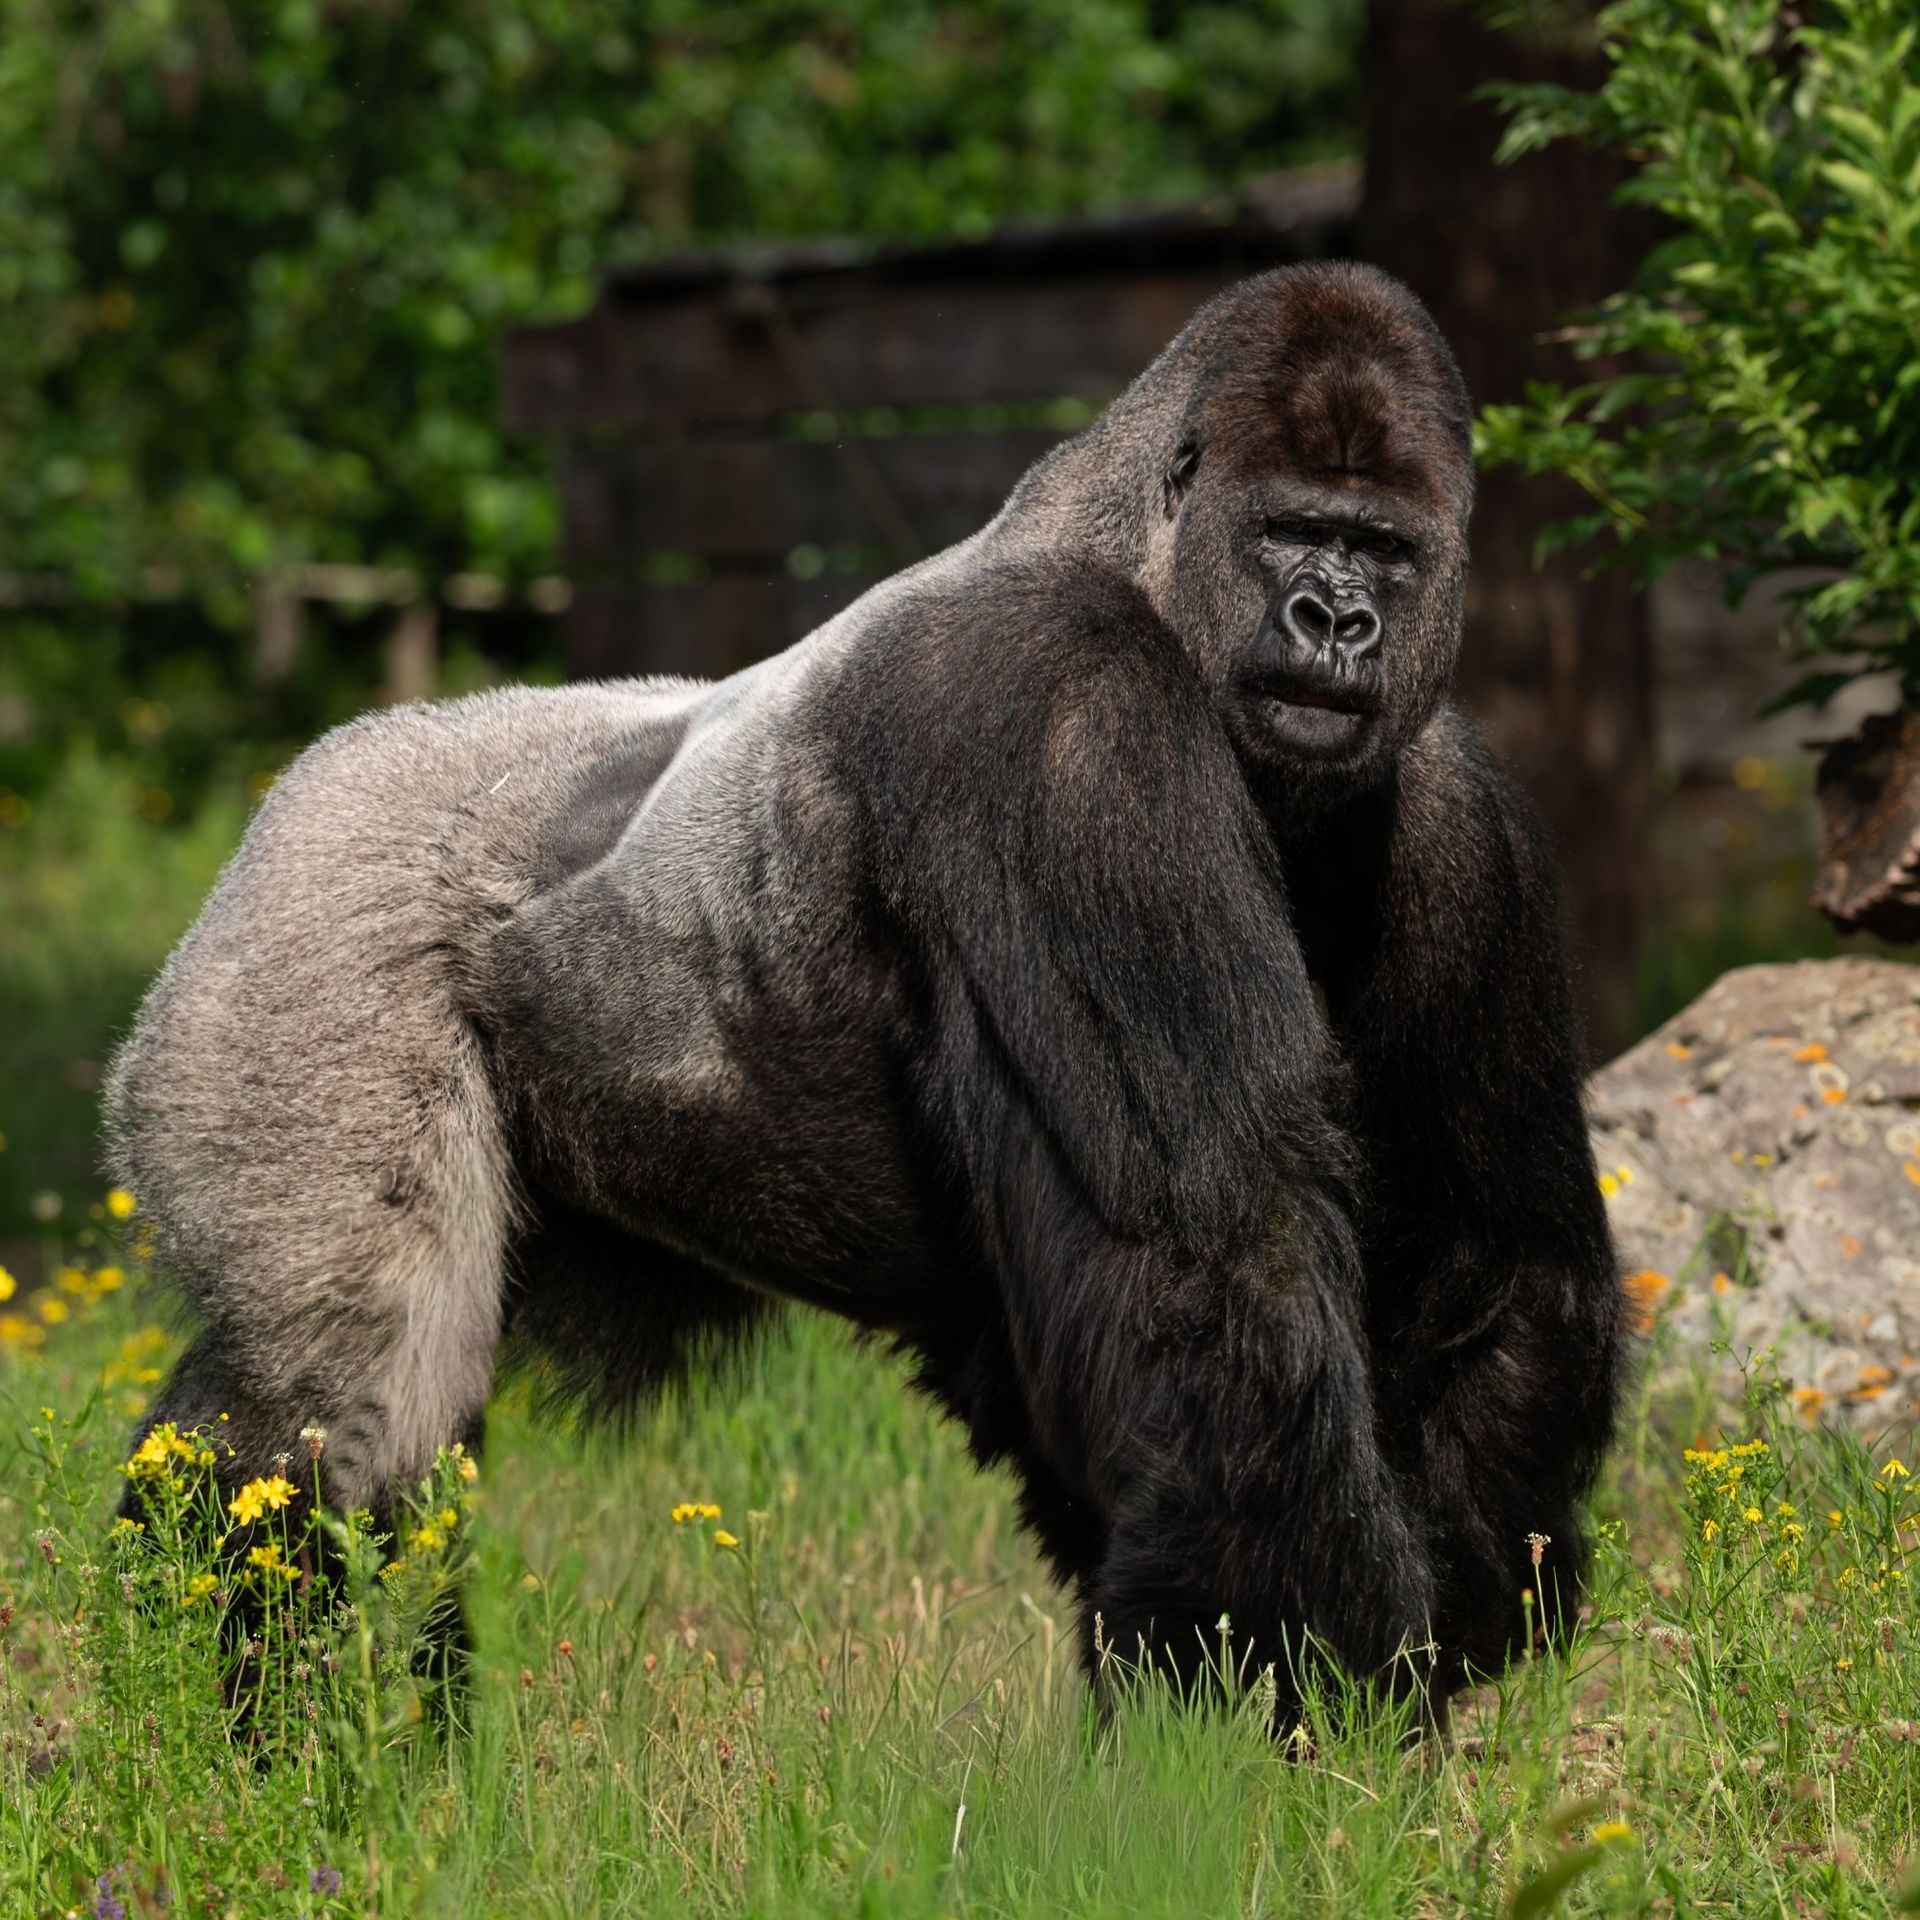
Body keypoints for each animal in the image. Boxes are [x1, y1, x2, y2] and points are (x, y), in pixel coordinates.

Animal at [108, 260, 1623, 1715]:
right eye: (1293, 532)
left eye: (1384, 549)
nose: (1338, 620)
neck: (1135, 552)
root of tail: (303, 779)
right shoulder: (1058, 698)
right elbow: (1220, 1255)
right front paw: (1296, 1686)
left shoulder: (1453, 811)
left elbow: (1493, 1250)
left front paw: (1447, 1639)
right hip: (305, 935)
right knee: (341, 1412)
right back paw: (268, 1722)